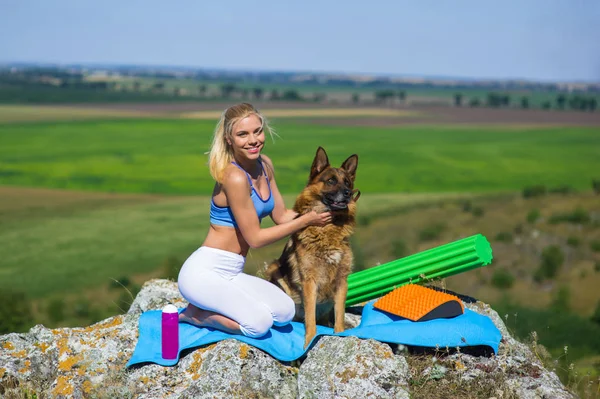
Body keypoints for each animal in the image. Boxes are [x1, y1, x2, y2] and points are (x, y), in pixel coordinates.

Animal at [266, 148, 358, 350]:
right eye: (331, 180)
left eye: (347, 182)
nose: (348, 193)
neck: (329, 229)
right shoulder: (309, 281)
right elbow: (310, 319)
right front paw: (309, 342)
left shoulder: (341, 280)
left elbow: (339, 315)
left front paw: (339, 335)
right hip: (275, 270)